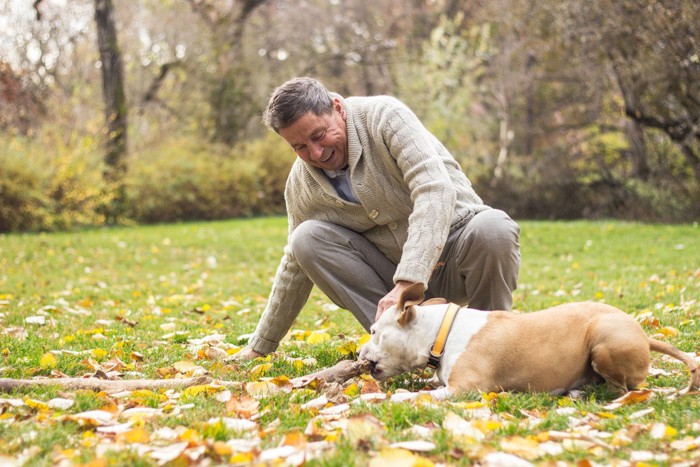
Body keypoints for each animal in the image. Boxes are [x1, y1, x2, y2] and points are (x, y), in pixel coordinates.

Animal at [360, 284, 700, 396]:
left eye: (374, 332)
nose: (360, 352)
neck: (440, 332)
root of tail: (643, 334)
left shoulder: (465, 389)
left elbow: (411, 397)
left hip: (605, 341)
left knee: (622, 390)